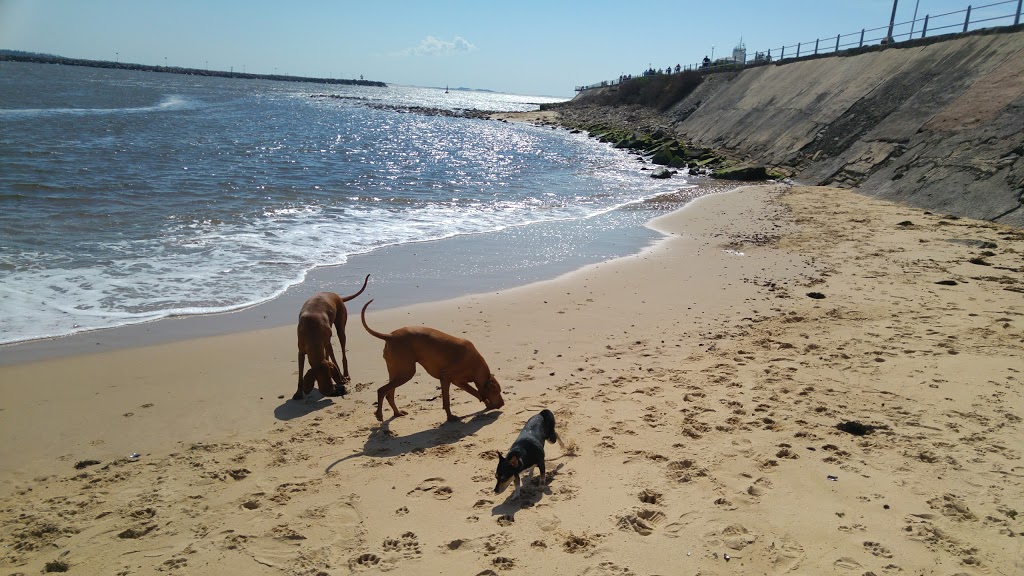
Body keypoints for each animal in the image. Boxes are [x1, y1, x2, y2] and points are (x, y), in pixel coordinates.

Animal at [360, 297, 503, 420]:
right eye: (497, 391)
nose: (503, 404)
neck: (474, 363)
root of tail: (390, 336)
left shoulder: (459, 382)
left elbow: (476, 393)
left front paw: (488, 405)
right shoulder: (445, 378)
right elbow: (447, 401)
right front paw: (450, 418)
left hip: (396, 372)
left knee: (389, 394)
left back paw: (397, 412)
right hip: (406, 373)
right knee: (381, 390)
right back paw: (379, 415)